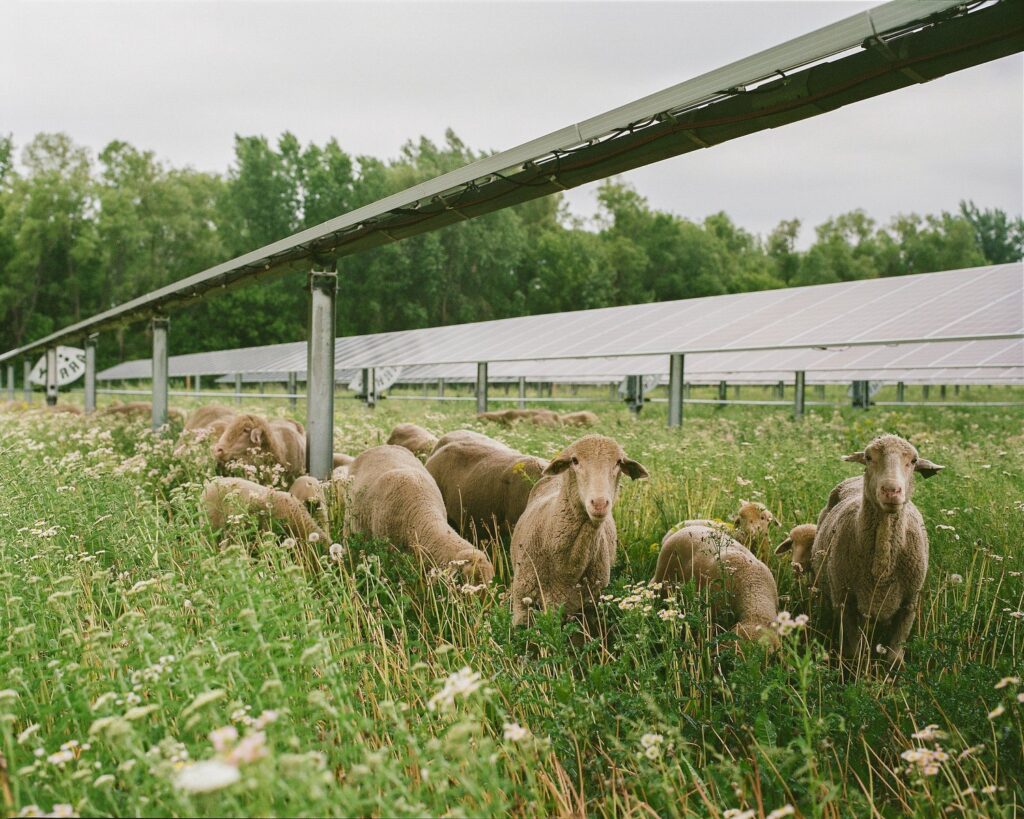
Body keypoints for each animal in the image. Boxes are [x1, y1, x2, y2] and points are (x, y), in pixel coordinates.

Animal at [806, 432, 942, 663]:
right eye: (869, 457)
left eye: (914, 461)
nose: (891, 491)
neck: (881, 568)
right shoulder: (845, 603)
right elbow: (856, 653)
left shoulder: (909, 605)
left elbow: (894, 656)